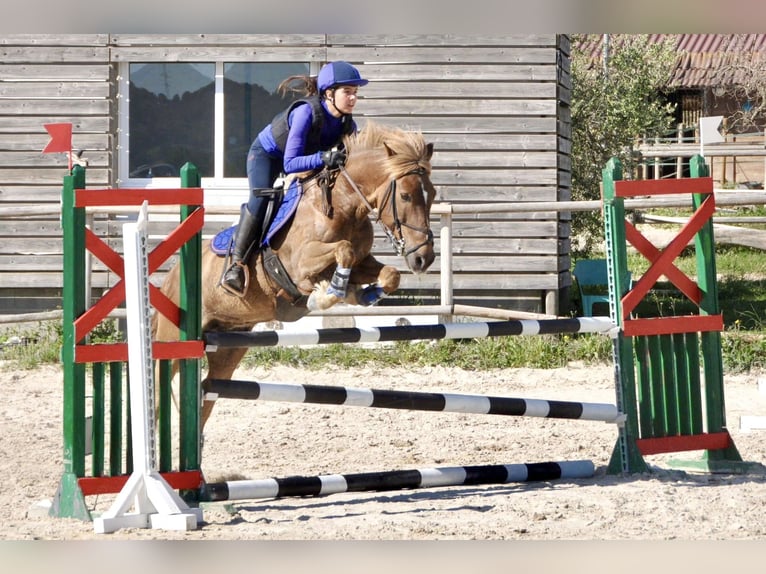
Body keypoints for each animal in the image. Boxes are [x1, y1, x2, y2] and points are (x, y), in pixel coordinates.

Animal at [153, 124, 438, 430]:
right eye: (405, 196)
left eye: (432, 194)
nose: (424, 258)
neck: (343, 204)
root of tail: (169, 278)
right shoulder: (300, 264)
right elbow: (343, 250)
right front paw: (327, 294)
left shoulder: (363, 262)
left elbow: (389, 273)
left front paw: (361, 293)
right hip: (173, 339)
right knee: (159, 395)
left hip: (229, 347)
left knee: (208, 392)